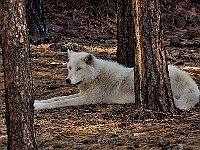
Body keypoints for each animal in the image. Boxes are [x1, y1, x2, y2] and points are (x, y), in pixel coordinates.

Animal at [34, 50, 198, 110]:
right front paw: (37, 102)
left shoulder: (88, 99)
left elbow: (61, 102)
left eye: (79, 69)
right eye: (69, 68)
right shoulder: (82, 94)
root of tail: (194, 86)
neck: (96, 76)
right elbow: (57, 98)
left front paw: (39, 107)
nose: (68, 81)